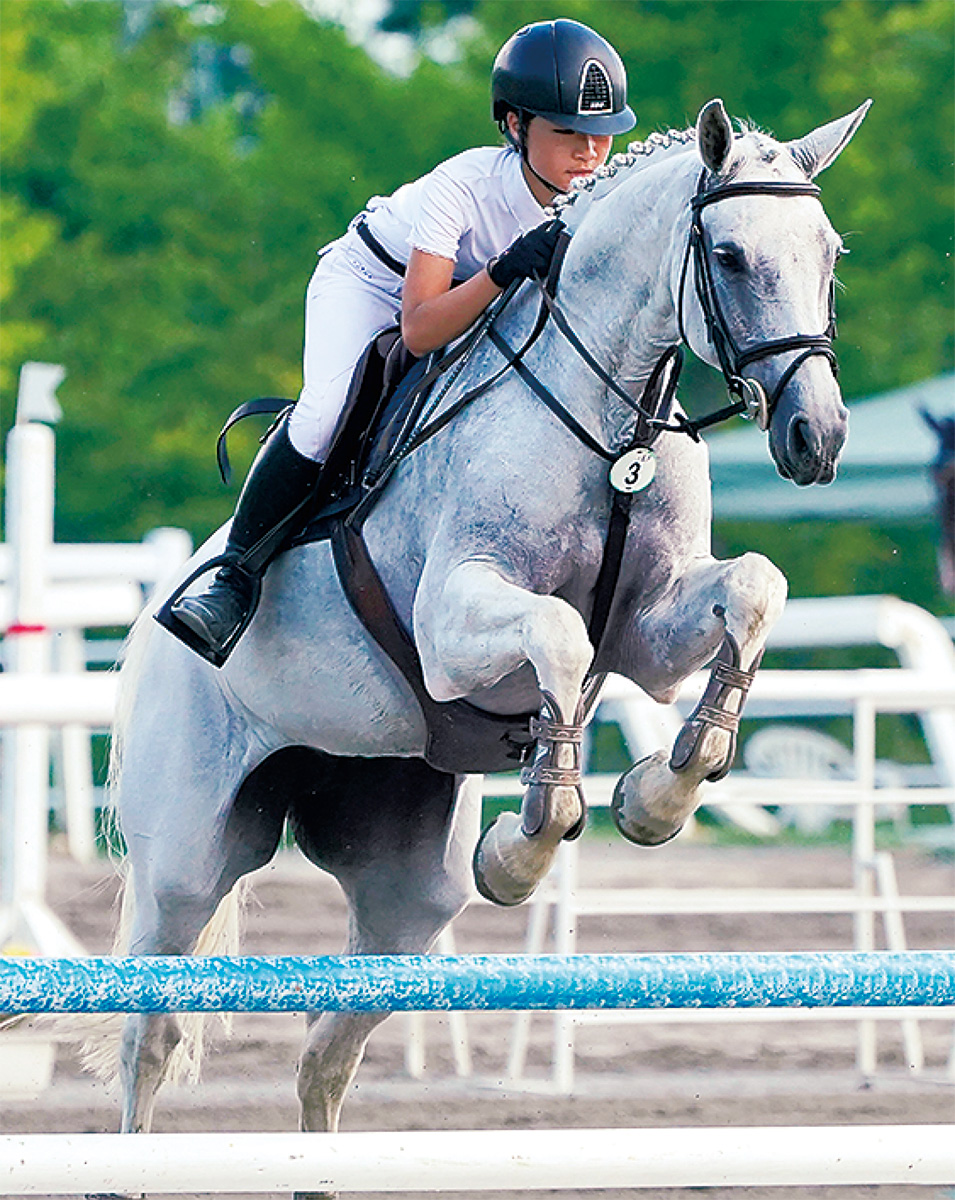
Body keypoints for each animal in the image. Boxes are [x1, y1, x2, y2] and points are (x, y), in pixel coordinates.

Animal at [109, 98, 863, 1176]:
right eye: (725, 254)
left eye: (828, 254)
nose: (818, 438)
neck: (612, 418)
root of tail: (146, 632)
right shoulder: (452, 622)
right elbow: (560, 638)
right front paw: (532, 834)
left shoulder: (653, 628)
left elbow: (752, 592)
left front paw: (659, 793)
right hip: (182, 860)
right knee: (152, 1032)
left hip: (404, 891)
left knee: (324, 1055)